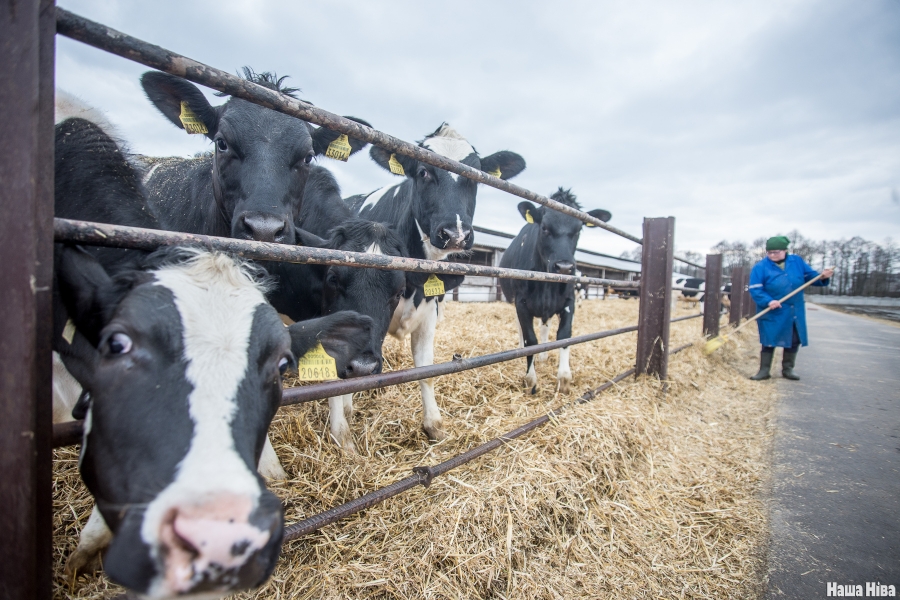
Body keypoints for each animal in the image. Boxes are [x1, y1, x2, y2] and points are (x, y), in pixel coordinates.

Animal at [344, 124, 526, 443]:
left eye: (475, 176)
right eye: (423, 171)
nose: (456, 233)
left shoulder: (429, 313)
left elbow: (426, 369)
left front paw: (433, 424)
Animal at [499, 188, 612, 395]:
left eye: (579, 229)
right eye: (544, 227)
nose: (565, 268)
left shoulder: (568, 301)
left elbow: (564, 335)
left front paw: (564, 379)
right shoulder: (521, 303)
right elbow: (530, 339)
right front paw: (530, 379)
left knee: (545, 326)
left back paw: (543, 355)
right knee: (521, 329)